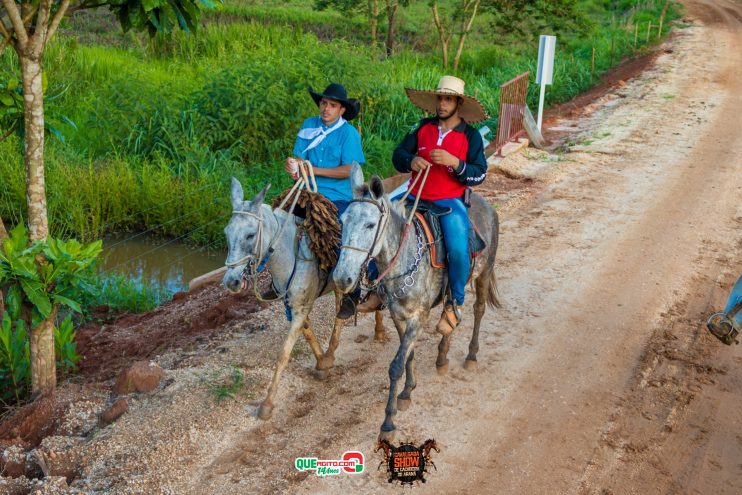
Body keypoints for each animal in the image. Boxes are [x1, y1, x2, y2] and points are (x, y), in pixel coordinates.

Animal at [222, 180, 386, 420]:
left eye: (251, 235)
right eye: (227, 232)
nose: (231, 281)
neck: (288, 255)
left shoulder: (300, 309)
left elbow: (284, 353)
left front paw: (267, 404)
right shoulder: (294, 306)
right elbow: (308, 334)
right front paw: (323, 362)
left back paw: (379, 331)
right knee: (340, 307)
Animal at [336, 167, 500, 442]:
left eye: (370, 224)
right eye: (343, 221)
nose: (342, 277)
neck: (406, 255)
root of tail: (485, 204)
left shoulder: (419, 317)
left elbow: (395, 366)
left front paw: (388, 423)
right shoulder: (397, 314)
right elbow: (408, 355)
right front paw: (407, 392)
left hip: (484, 273)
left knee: (478, 310)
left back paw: (471, 355)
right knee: (452, 312)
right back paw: (442, 356)